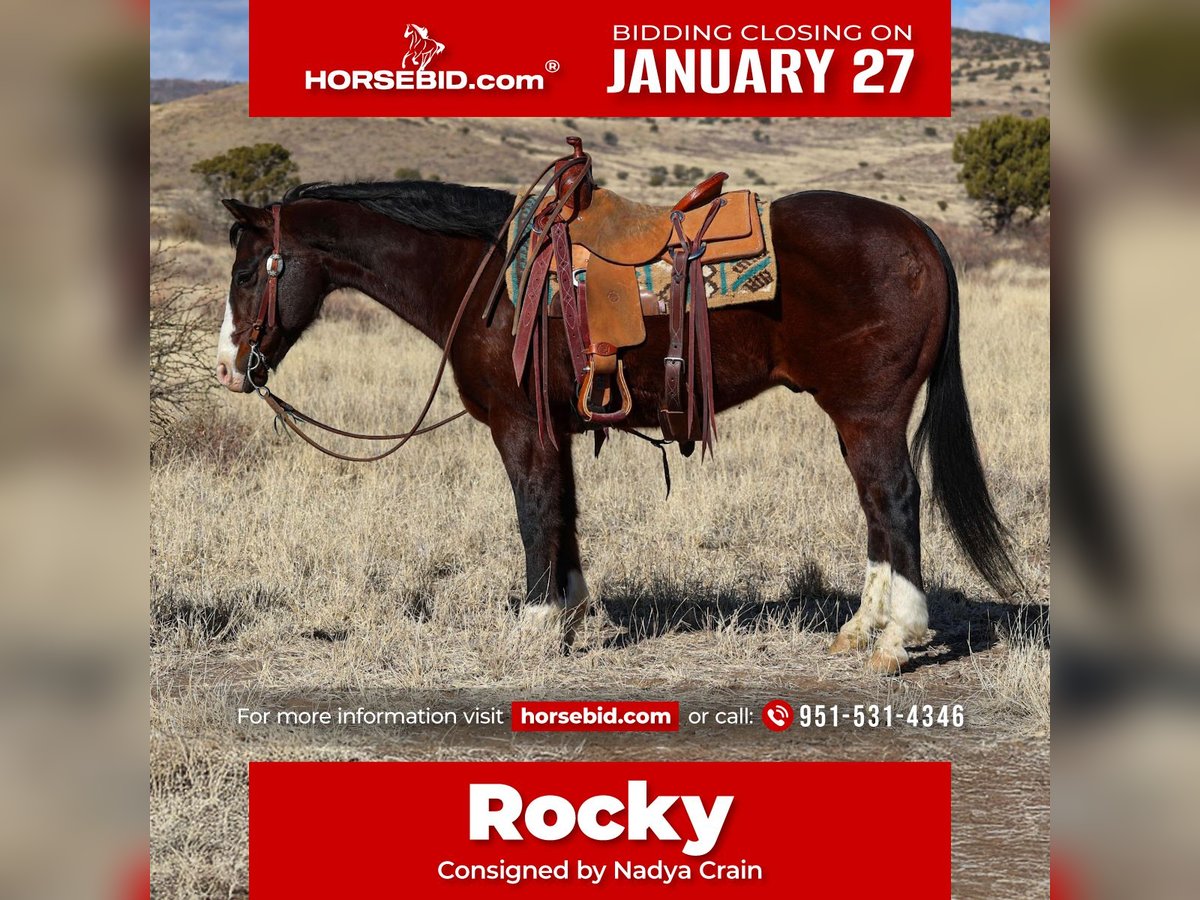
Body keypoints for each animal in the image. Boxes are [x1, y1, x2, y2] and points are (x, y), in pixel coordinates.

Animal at [213, 180, 1012, 676]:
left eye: (248, 272)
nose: (228, 367)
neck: (487, 279)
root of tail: (919, 233)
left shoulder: (521, 426)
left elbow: (535, 514)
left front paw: (535, 626)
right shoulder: (558, 428)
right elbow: (564, 513)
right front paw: (567, 614)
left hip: (868, 413)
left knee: (895, 501)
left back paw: (898, 638)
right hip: (856, 419)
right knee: (877, 509)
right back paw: (859, 629)